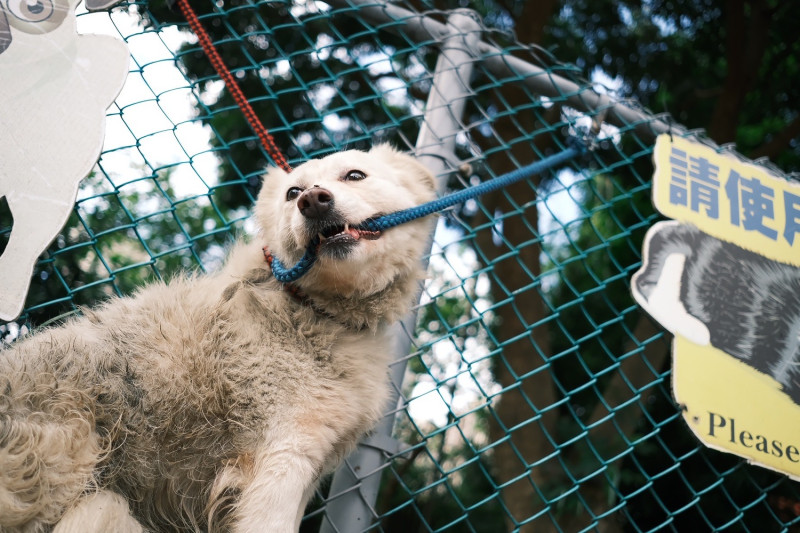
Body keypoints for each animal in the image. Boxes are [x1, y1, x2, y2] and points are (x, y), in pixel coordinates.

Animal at [1, 145, 438, 532]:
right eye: (292, 192)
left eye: (354, 175)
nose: (313, 201)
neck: (314, 310)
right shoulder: (280, 461)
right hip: (104, 505)